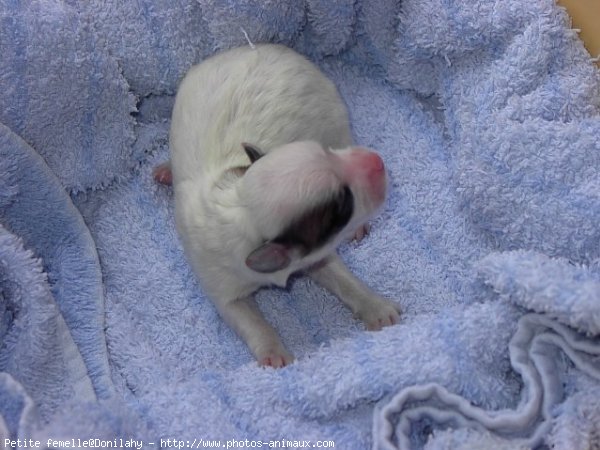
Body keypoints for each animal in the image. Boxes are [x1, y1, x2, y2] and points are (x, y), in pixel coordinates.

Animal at [155, 44, 398, 368]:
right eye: (341, 208)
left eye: (326, 153)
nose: (377, 161)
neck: (240, 208)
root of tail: (267, 48)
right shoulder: (219, 279)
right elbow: (246, 318)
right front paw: (274, 353)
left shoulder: (314, 255)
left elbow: (341, 277)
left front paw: (378, 308)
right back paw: (166, 170)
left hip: (335, 119)